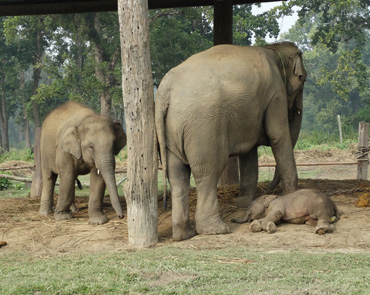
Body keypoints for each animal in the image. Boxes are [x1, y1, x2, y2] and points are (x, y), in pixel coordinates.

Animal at [155, 42, 306, 240]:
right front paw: (292, 195)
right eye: (303, 79)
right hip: (204, 128)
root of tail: (165, 89)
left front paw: (242, 202)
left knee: (177, 176)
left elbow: (249, 151)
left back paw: (184, 234)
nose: (269, 190)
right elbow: (278, 135)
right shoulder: (276, 92)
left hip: (170, 131)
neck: (273, 49)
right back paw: (216, 229)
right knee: (208, 171)